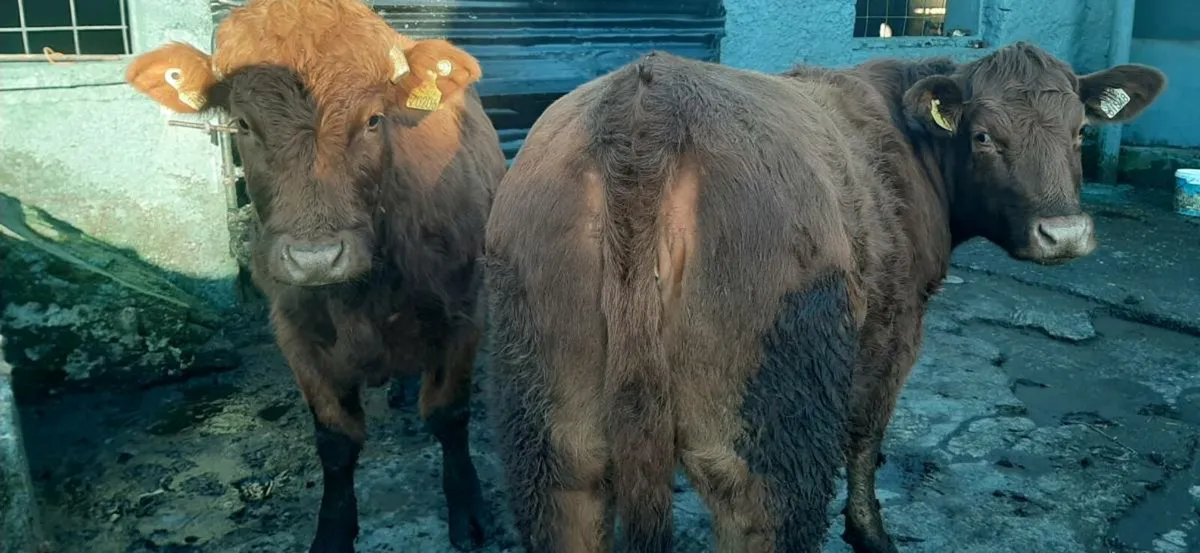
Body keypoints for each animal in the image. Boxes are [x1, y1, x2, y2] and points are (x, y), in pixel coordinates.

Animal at [124, 1, 505, 551]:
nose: (316, 258)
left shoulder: (464, 312)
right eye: (242, 124)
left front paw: (468, 512)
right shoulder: (296, 332)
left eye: (373, 120)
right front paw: (333, 530)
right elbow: (335, 440)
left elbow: (450, 415)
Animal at [483, 41, 1165, 553]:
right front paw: (870, 534)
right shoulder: (894, 322)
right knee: (764, 507)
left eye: (1080, 132)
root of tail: (646, 105)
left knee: (566, 493)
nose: (1065, 234)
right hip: (772, 416)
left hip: (551, 424)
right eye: (983, 136)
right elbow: (865, 434)